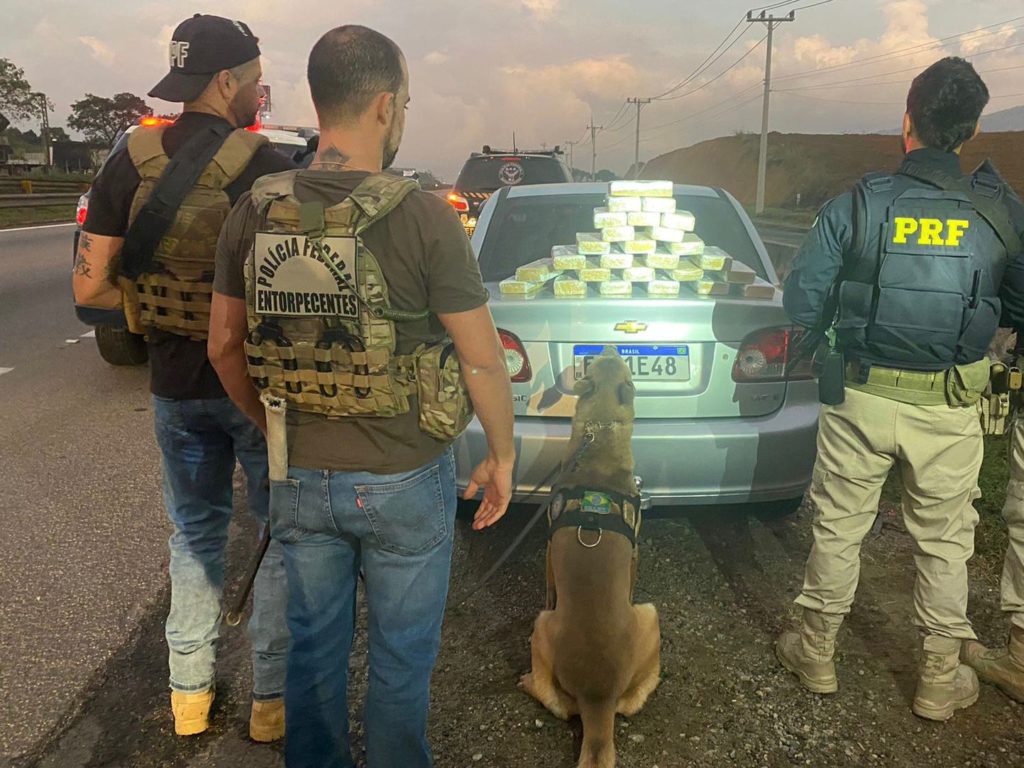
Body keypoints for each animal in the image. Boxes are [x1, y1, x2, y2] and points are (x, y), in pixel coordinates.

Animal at [520, 348, 661, 768]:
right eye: (604, 357)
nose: (612, 347)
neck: (599, 438)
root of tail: (598, 697)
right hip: (647, 614)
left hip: (551, 621)